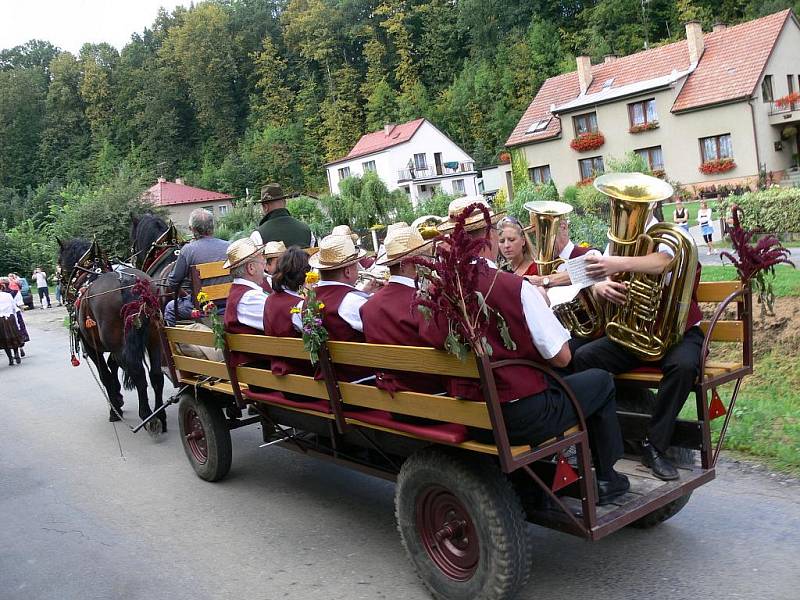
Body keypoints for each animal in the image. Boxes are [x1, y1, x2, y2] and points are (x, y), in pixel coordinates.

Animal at [59, 237, 167, 434]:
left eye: (60, 265)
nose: (63, 291)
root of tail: (126, 281)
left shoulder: (91, 346)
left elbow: (105, 375)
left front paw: (115, 407)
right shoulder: (116, 347)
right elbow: (112, 366)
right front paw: (118, 396)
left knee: (138, 372)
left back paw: (147, 415)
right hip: (154, 338)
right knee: (156, 375)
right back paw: (160, 415)